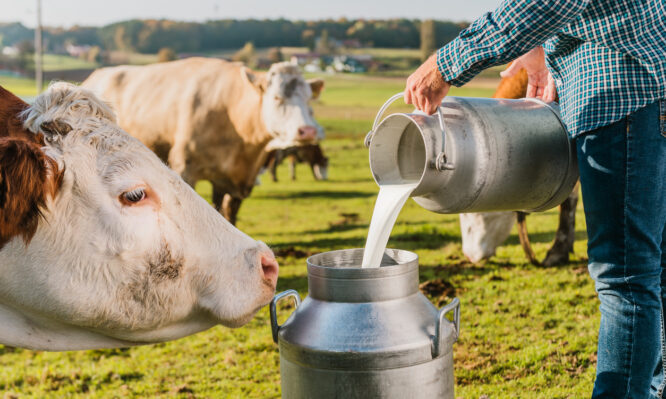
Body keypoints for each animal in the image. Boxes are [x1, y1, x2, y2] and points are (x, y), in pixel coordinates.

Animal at [83, 59, 324, 227]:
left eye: (309, 99)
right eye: (277, 98)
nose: (308, 131)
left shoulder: (231, 182)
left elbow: (227, 213)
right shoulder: (184, 170)